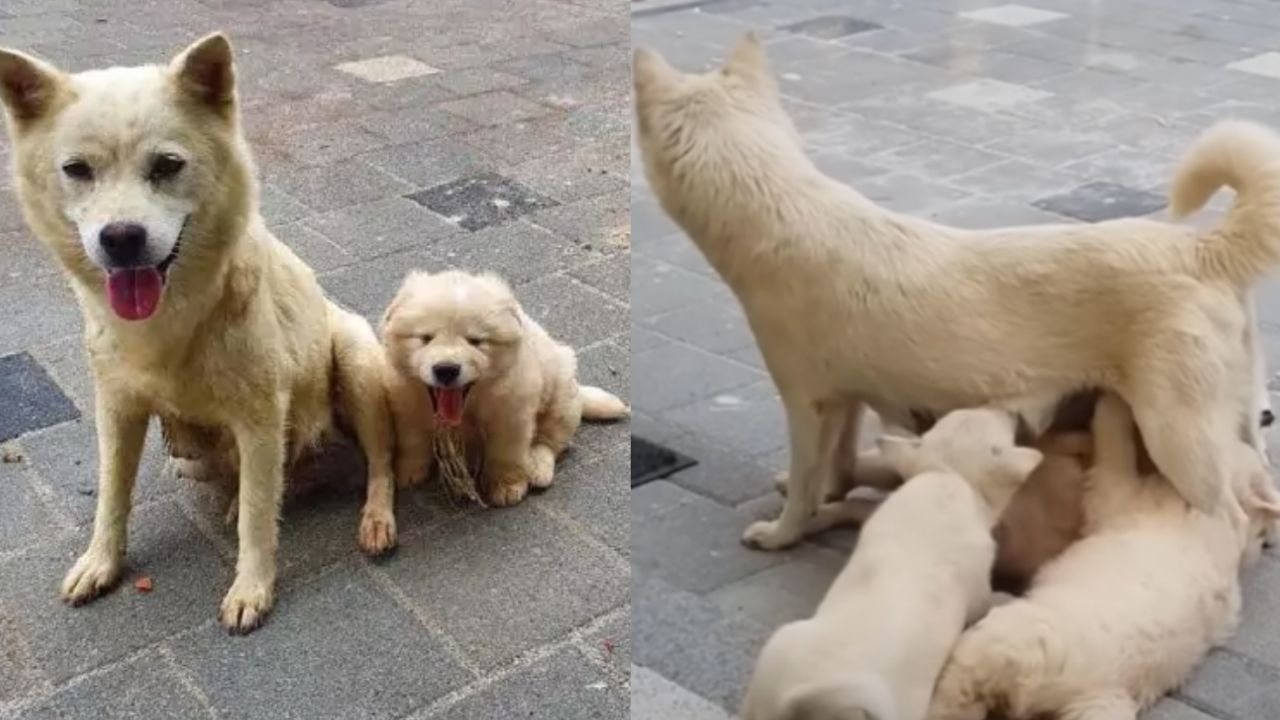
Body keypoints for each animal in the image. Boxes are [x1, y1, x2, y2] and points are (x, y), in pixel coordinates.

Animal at [378, 267, 629, 504]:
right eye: (426, 338)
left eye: (475, 341)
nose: (446, 369)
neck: (467, 408)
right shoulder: (407, 408)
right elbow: (413, 442)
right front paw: (408, 473)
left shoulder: (511, 414)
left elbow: (506, 453)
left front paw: (508, 487)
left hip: (560, 393)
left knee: (550, 440)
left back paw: (537, 468)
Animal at [634, 35, 1280, 548]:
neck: (778, 205)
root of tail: (1202, 249)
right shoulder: (847, 399)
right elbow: (836, 469)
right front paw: (828, 497)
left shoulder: (806, 404)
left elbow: (806, 484)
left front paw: (783, 532)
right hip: (1236, 420)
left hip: (1177, 437)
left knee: (1226, 516)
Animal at [742, 404, 1039, 717]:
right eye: (1000, 424)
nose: (1008, 409)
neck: (946, 477)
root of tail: (803, 703)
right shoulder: (978, 590)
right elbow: (984, 602)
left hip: (775, 659)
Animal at [931, 392, 1280, 717]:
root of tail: (1097, 689)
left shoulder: (1123, 497)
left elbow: (1114, 454)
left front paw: (1115, 404)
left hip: (1008, 641)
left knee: (959, 688)